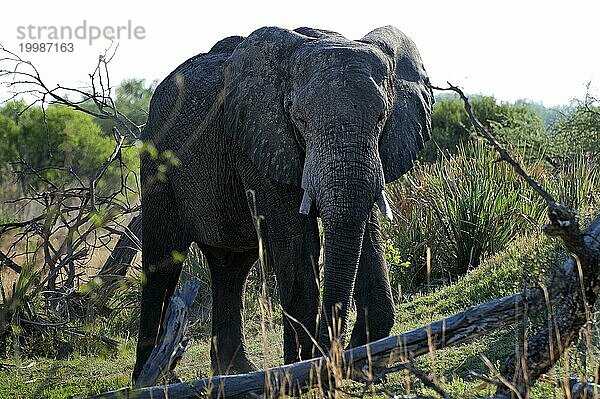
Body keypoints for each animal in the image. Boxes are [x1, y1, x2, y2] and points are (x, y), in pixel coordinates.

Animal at [132, 25, 432, 384]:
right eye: (299, 121)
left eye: (381, 118)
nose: (336, 356)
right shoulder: (261, 142)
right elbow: (296, 243)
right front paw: (302, 371)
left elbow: (365, 231)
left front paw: (365, 367)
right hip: (156, 164)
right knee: (162, 262)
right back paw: (154, 379)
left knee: (230, 267)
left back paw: (235, 373)